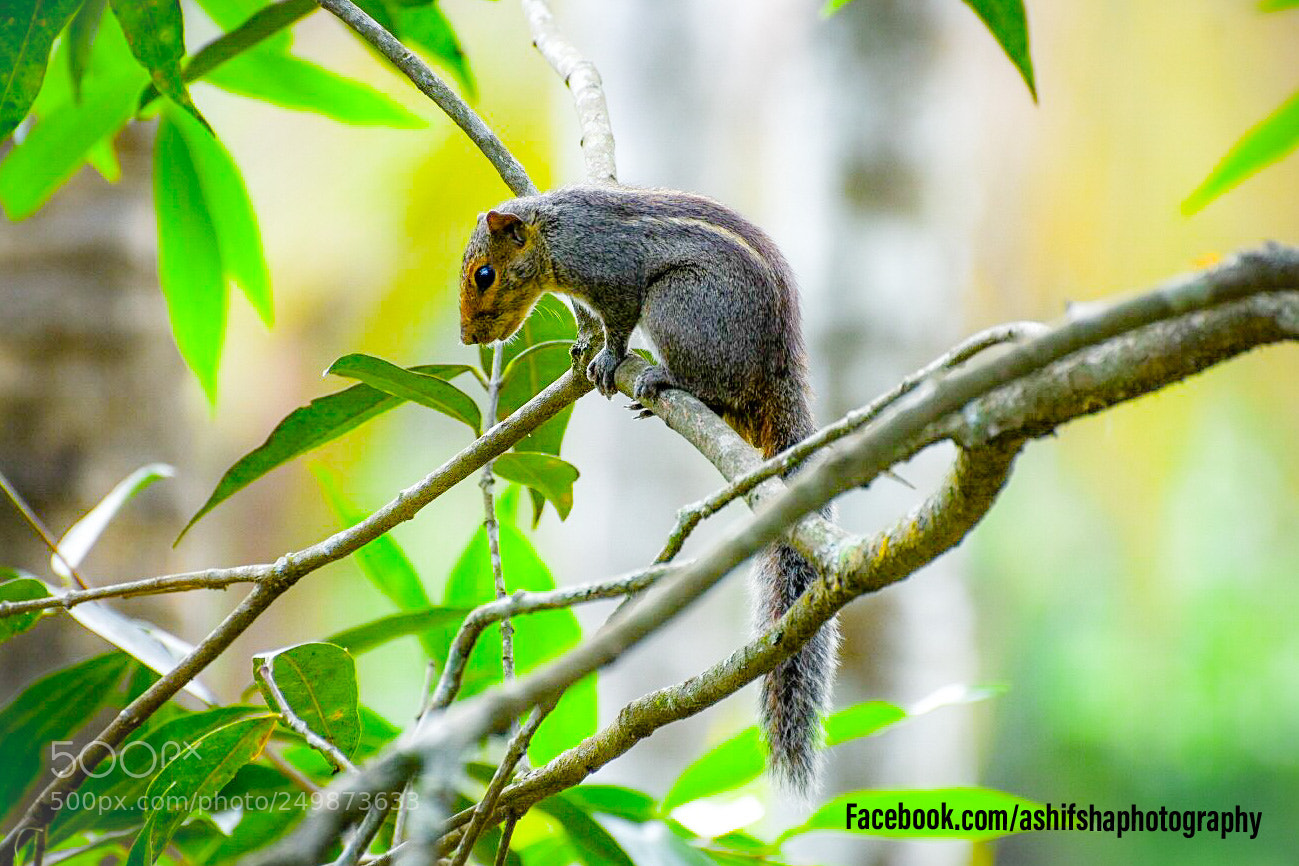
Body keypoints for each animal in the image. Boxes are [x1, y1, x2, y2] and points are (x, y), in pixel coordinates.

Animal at [459, 184, 838, 793]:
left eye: (486, 274)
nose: (469, 336)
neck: (554, 232)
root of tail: (780, 360)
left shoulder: (612, 272)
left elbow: (617, 321)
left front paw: (608, 356)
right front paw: (583, 347)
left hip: (679, 305)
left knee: (716, 382)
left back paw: (667, 377)